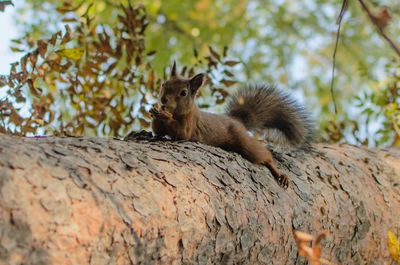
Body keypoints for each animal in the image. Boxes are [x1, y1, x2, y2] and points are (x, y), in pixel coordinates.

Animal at [148, 61, 314, 188]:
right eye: (164, 84)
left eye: (183, 93)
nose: (163, 100)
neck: (178, 111)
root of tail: (237, 122)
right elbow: (158, 131)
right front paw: (154, 110)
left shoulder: (190, 124)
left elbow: (181, 132)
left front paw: (165, 115)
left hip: (244, 142)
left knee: (265, 155)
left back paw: (278, 172)